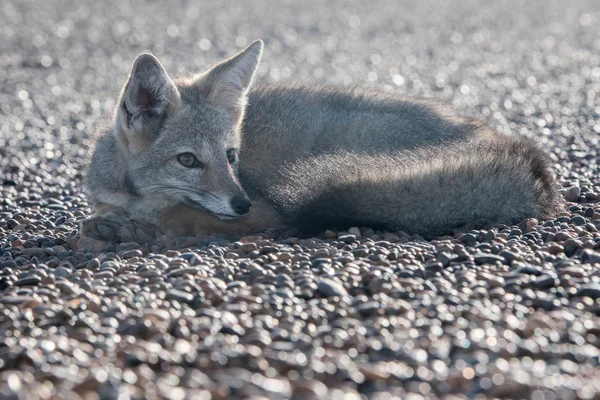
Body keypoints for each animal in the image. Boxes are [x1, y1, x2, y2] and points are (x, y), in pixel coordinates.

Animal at [82, 39, 564, 241]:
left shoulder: (266, 209)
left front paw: (140, 226)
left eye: (231, 155)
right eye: (187, 160)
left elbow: (182, 215)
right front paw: (117, 222)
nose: (241, 202)